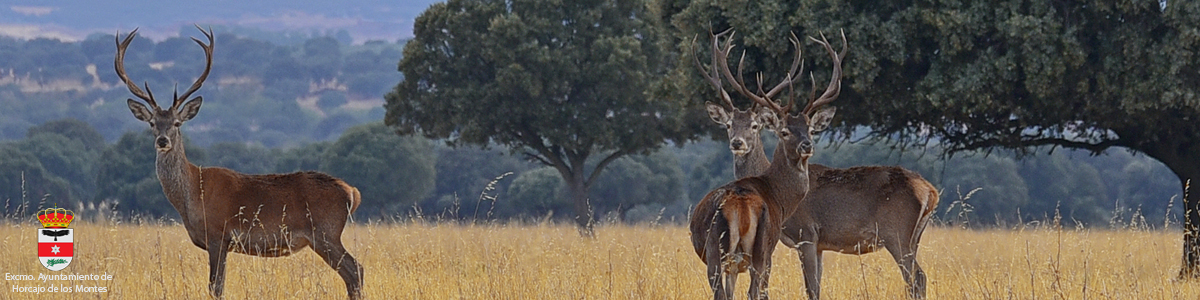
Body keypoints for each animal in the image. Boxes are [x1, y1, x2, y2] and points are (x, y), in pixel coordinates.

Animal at [115, 27, 362, 298]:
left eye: (177, 123)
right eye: (152, 123)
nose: (162, 140)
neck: (193, 193)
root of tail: (352, 192)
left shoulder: (218, 235)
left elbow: (215, 287)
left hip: (326, 232)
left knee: (355, 269)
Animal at [686, 28, 844, 300]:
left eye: (810, 130)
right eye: (784, 131)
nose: (807, 146)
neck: (778, 196)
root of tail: (739, 206)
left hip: (729, 253)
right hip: (750, 251)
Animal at [700, 33, 940, 300]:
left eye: (811, 129)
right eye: (729, 125)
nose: (737, 143)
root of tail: (930, 191)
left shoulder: (806, 234)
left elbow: (811, 288)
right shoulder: (820, 245)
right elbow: (816, 285)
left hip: (896, 232)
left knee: (916, 277)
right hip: (914, 236)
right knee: (918, 278)